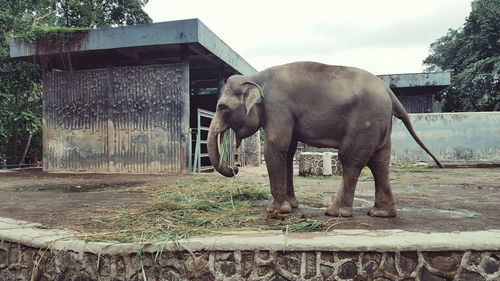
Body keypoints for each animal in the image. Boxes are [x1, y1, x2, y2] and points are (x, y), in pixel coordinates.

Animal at [206, 61, 442, 217]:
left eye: (222, 107)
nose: (235, 167)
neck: (256, 77)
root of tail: (388, 90)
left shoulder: (279, 107)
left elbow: (275, 148)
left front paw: (276, 210)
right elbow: (288, 152)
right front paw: (293, 205)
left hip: (365, 120)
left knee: (351, 159)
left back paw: (336, 212)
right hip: (380, 122)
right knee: (380, 161)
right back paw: (380, 213)